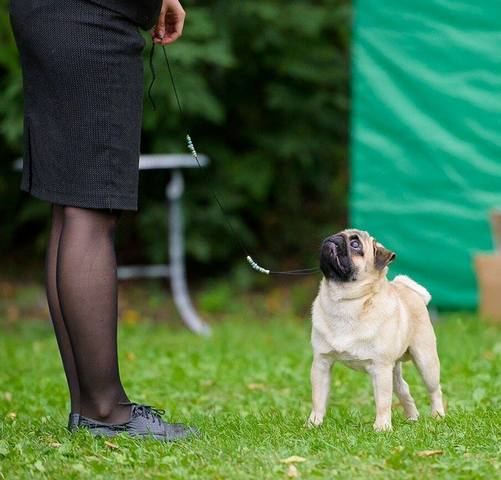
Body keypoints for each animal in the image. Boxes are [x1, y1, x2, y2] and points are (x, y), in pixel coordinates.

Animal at [308, 229, 446, 432]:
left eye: (355, 245)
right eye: (337, 234)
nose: (333, 239)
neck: (344, 301)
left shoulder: (380, 368)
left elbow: (383, 402)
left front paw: (382, 427)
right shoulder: (321, 363)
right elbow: (318, 399)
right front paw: (314, 423)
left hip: (425, 362)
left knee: (434, 390)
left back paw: (438, 416)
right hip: (394, 370)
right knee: (403, 389)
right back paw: (412, 417)